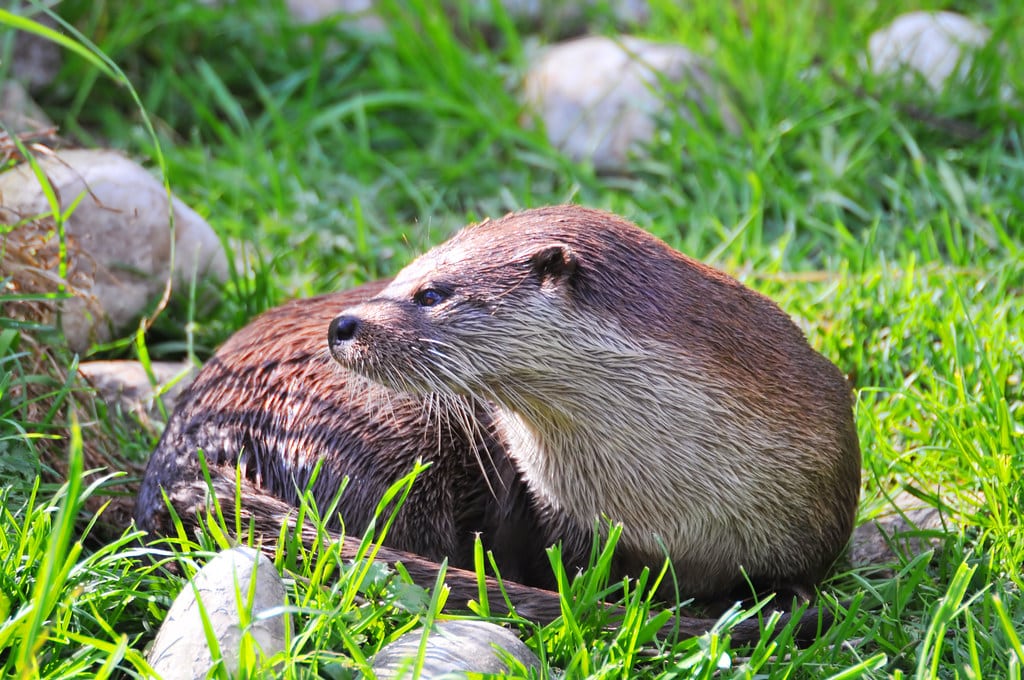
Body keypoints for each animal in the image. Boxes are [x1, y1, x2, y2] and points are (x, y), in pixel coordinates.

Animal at [136, 205, 859, 639]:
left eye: (431, 292)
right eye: (396, 278)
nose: (341, 326)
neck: (675, 509)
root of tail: (190, 442)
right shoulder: (557, 517)